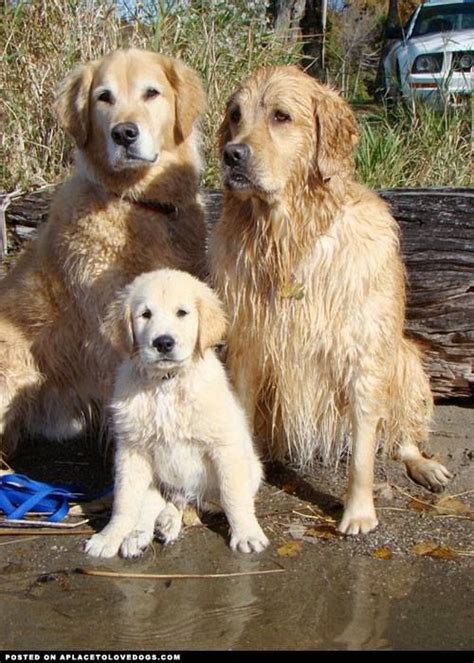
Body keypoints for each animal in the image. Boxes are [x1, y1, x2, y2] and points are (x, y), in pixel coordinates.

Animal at [85, 268, 268, 556]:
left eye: (182, 313)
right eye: (145, 314)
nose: (163, 343)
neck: (167, 384)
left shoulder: (224, 446)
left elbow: (234, 495)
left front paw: (247, 533)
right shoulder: (132, 450)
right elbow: (125, 501)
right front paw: (110, 535)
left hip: (246, 471)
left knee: (195, 501)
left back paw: (166, 523)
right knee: (157, 501)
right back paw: (140, 533)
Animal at [210, 66, 452, 536]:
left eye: (281, 116)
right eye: (235, 115)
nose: (232, 155)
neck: (290, 237)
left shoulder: (363, 353)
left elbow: (362, 454)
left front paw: (358, 512)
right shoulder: (248, 347)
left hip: (405, 360)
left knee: (401, 437)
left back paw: (424, 466)